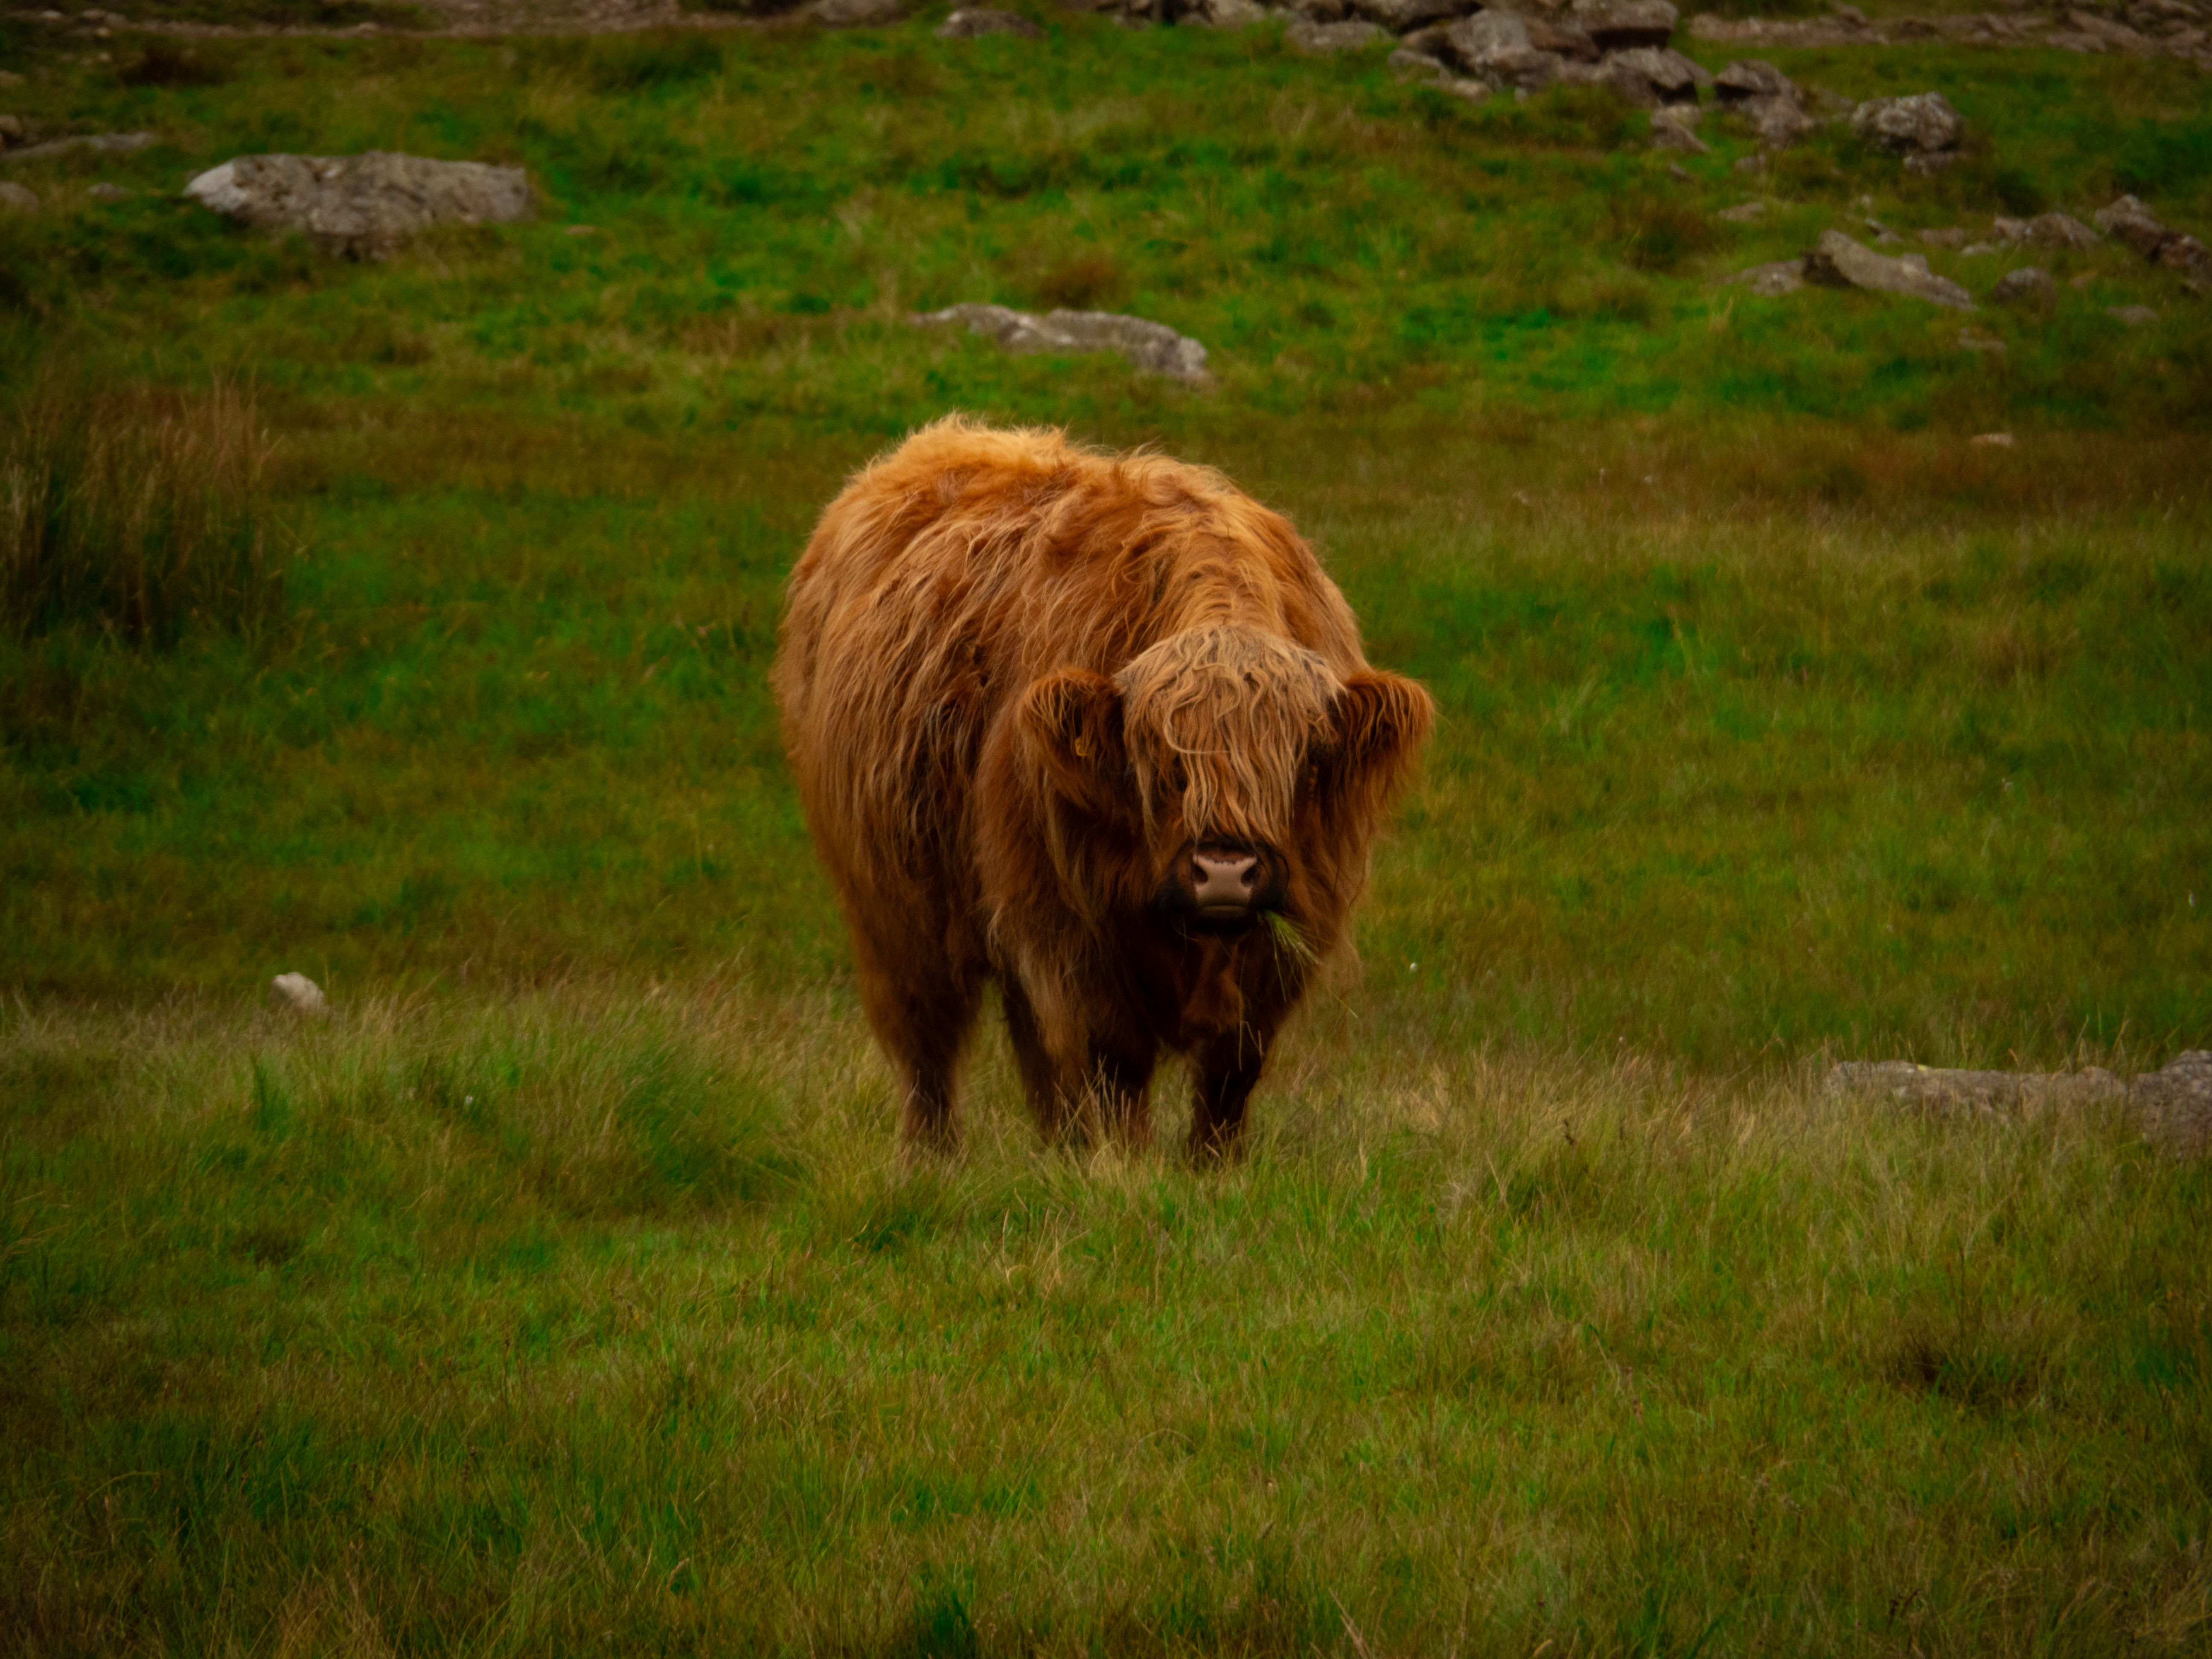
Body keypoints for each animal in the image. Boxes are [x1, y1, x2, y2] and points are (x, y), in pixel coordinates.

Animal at [773, 417, 1432, 1158]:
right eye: (1164, 766)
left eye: (1299, 759)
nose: (1224, 872)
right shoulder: (1071, 931)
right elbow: (1113, 1063)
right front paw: (1125, 1166)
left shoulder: (1292, 933)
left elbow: (1231, 1071)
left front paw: (1212, 1166)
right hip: (895, 908)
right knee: (927, 1043)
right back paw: (932, 1158)